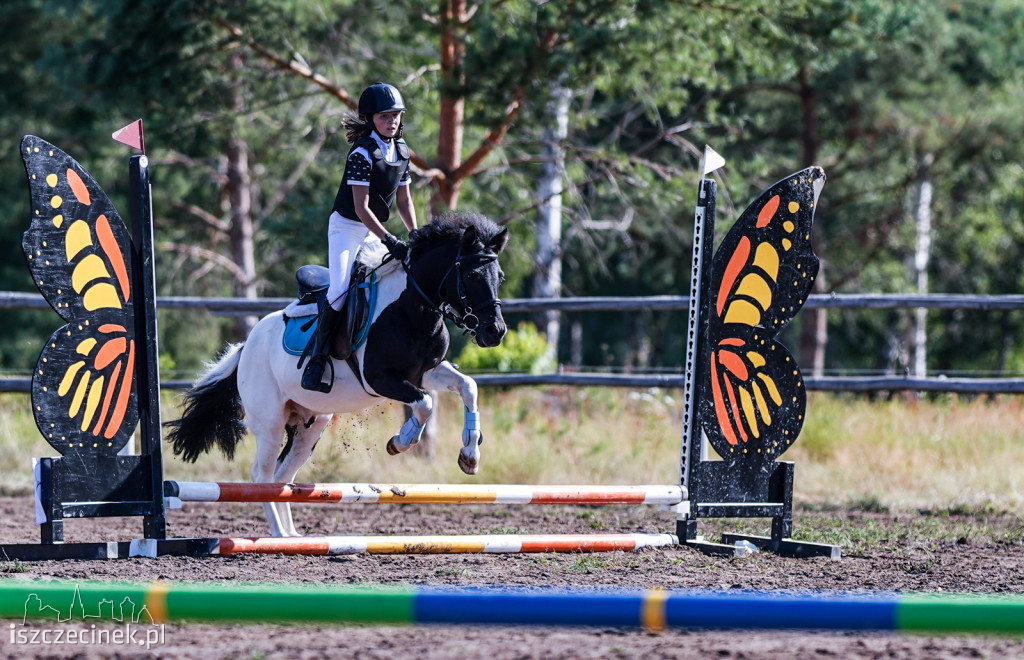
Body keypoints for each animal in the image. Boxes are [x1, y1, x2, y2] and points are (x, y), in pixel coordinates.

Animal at [166, 210, 512, 536]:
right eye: (471, 274)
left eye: (500, 276)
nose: (495, 332)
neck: (412, 307)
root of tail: (246, 345)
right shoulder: (381, 379)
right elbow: (424, 404)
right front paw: (400, 441)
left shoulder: (424, 372)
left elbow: (468, 387)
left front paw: (470, 455)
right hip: (270, 423)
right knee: (261, 476)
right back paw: (277, 535)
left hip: (310, 425)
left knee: (282, 476)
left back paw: (292, 536)